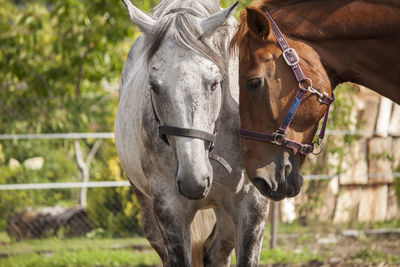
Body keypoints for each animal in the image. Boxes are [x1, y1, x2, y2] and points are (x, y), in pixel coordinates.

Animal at [114, 1, 268, 266]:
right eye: (154, 86)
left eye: (215, 82)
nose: (193, 180)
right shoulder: (170, 209)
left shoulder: (252, 205)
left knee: (216, 252)